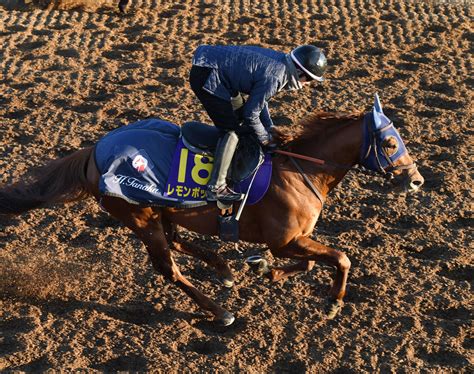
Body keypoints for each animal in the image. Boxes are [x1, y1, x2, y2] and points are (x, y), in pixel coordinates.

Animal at [0, 98, 422, 326]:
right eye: (389, 142)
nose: (416, 180)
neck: (302, 170)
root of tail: (94, 152)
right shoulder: (285, 240)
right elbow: (341, 257)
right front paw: (333, 302)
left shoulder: (293, 240)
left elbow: (311, 262)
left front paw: (264, 270)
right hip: (140, 217)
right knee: (169, 268)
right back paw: (220, 310)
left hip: (160, 212)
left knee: (178, 243)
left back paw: (225, 270)